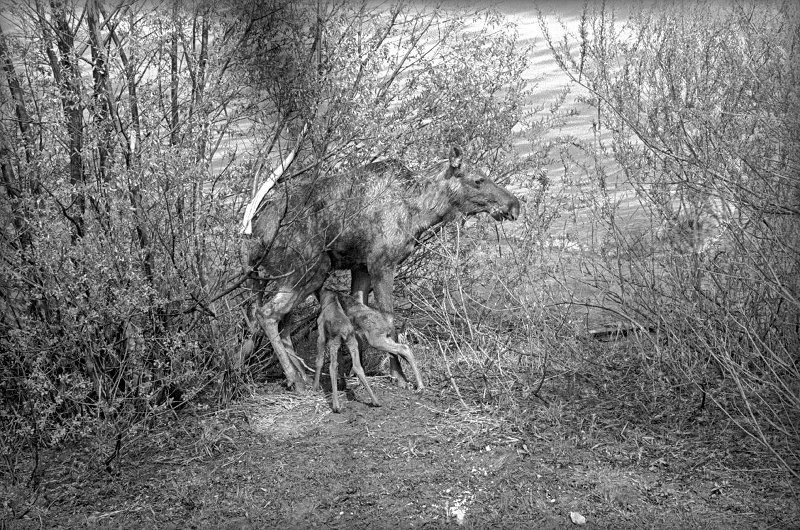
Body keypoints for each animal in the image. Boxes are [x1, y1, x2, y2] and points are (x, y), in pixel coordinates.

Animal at [248, 144, 520, 388]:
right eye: (478, 180)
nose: (514, 205)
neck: (421, 212)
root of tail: (256, 233)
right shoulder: (382, 264)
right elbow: (390, 320)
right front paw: (398, 375)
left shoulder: (361, 266)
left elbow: (361, 312)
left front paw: (352, 372)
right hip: (311, 270)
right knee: (266, 313)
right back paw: (294, 378)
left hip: (297, 276)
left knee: (282, 323)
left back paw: (301, 375)